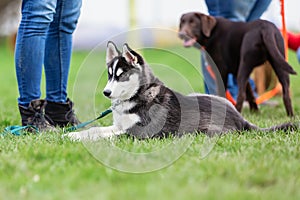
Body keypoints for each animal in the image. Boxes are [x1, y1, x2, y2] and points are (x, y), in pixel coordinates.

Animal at [66, 41, 296, 141]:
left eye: (122, 75)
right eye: (109, 75)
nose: (106, 93)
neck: (138, 95)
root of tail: (240, 118)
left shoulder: (137, 132)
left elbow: (105, 134)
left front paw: (76, 137)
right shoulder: (120, 125)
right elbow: (97, 129)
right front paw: (75, 134)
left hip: (203, 130)